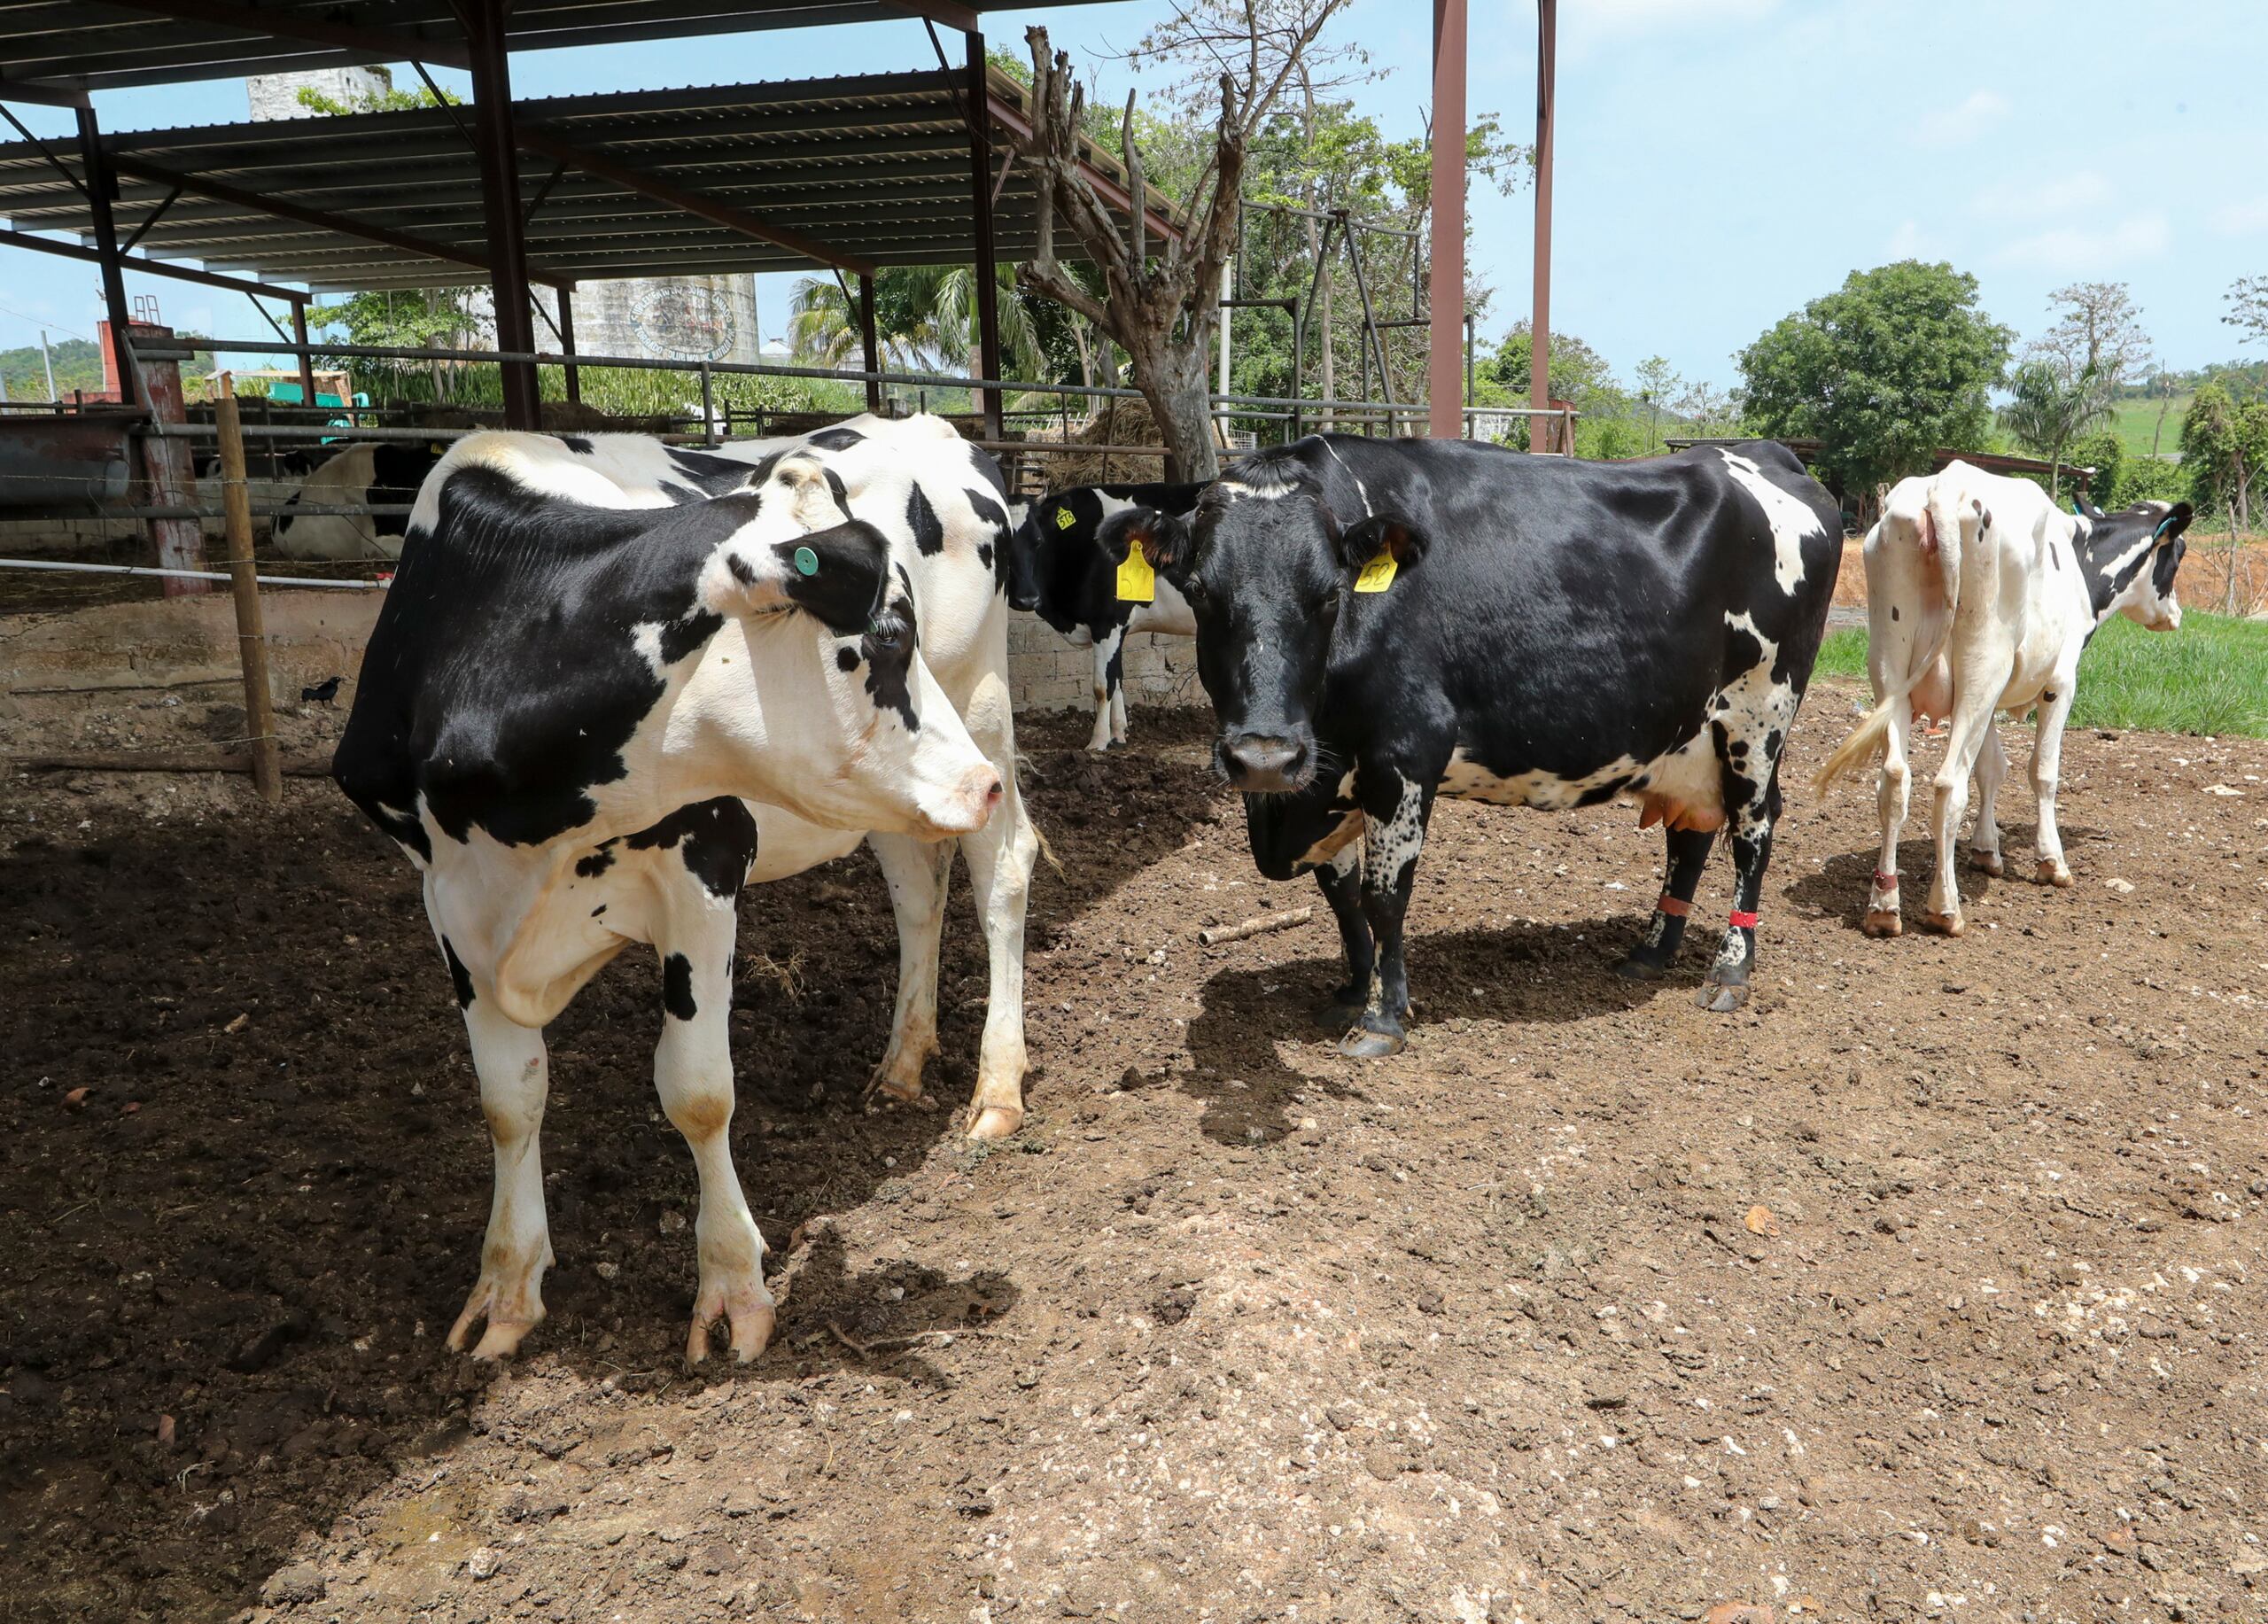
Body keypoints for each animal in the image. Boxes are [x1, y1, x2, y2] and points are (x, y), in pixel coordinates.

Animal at [333, 428, 1002, 1361]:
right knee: (918, 895)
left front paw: (733, 1285)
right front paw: (506, 1287)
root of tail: (931, 427)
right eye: (888, 632)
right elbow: (509, 1098)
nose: (981, 786)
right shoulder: (447, 899)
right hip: (887, 803)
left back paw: (998, 1090)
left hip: (982, 705)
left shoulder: (705, 859)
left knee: (1004, 881)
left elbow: (697, 1089)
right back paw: (903, 1062)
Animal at [1006, 478, 1206, 752]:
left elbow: (1103, 685)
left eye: (1038, 541)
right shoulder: (1117, 627)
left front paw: (1098, 742)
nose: (1026, 599)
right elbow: (1118, 678)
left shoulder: (1107, 622)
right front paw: (1118, 735)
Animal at [1098, 438, 1841, 1061]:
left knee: (1753, 833)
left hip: (1759, 715)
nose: (1263, 759)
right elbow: (1339, 892)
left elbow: (1383, 896)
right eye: (1200, 591)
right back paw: (1652, 952)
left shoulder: (1405, 752)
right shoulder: (1324, 771)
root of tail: (1762, 453)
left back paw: (1731, 969)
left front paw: (1381, 1018)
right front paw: (1351, 990)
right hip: (1686, 736)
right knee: (1689, 838)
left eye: (1329, 594)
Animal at [1814, 462, 2186, 934]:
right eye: (2178, 555)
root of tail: (1944, 488)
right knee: (1948, 784)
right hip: (1982, 664)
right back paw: (1945, 907)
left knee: (1895, 780)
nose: (2176, 615)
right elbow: (2042, 772)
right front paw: (2051, 861)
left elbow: (1991, 768)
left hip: (1892, 665)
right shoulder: (2061, 682)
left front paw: (1986, 850)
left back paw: (1884, 905)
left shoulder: (1989, 703)